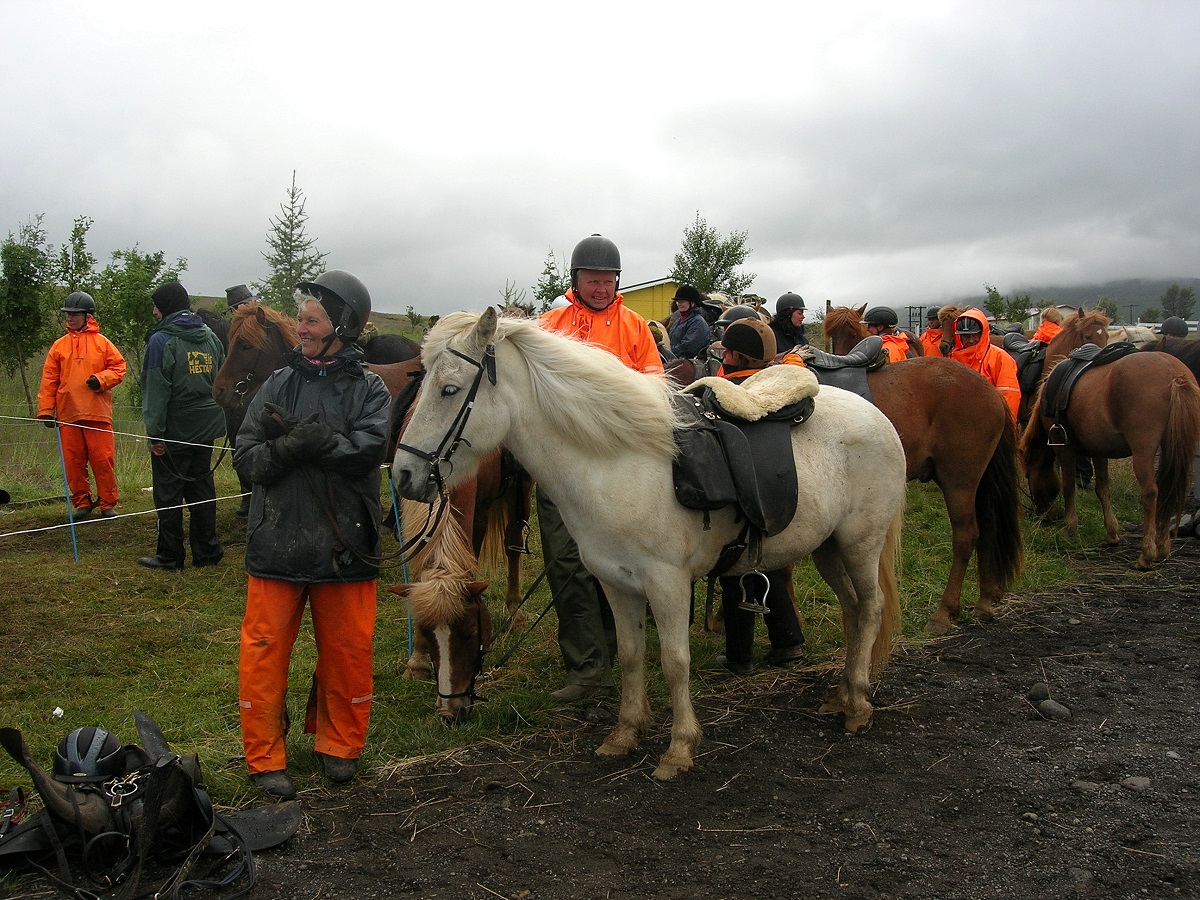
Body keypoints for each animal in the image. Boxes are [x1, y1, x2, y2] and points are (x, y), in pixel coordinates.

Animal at [388, 309, 902, 782]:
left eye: (450, 389)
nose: (404, 475)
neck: (618, 461)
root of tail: (876, 415)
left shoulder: (667, 583)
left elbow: (675, 662)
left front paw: (679, 749)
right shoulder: (617, 582)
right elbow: (632, 655)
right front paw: (624, 734)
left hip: (860, 543)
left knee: (871, 607)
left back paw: (858, 705)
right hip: (829, 547)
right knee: (852, 608)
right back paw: (841, 694)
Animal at [825, 307, 1022, 638]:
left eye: (852, 332)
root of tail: (991, 391)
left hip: (959, 481)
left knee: (966, 535)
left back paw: (944, 611)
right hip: (977, 482)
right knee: (987, 527)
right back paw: (984, 601)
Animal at [1022, 352, 1200, 571]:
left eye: (1028, 476)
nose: (1041, 514)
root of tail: (1175, 373)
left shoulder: (1064, 448)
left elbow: (1068, 487)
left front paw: (1069, 528)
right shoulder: (1099, 451)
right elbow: (1102, 489)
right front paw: (1111, 533)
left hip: (1143, 451)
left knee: (1151, 493)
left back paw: (1146, 555)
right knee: (1170, 492)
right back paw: (1163, 548)